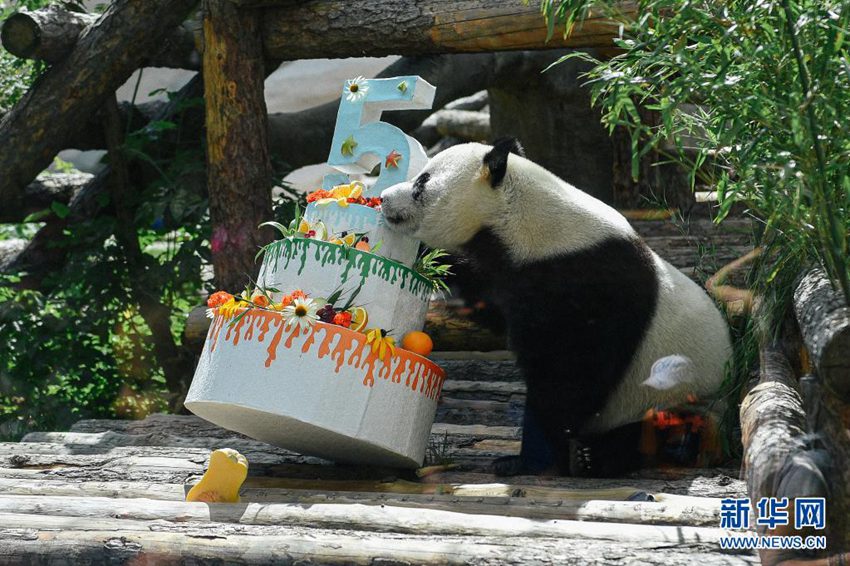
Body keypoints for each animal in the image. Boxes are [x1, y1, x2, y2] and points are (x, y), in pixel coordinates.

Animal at [380, 140, 732, 478]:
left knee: (668, 431)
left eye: (421, 184)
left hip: (678, 394)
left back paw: (591, 457)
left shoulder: (583, 281)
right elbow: (483, 297)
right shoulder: (510, 273)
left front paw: (528, 460)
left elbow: (569, 376)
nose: (383, 198)